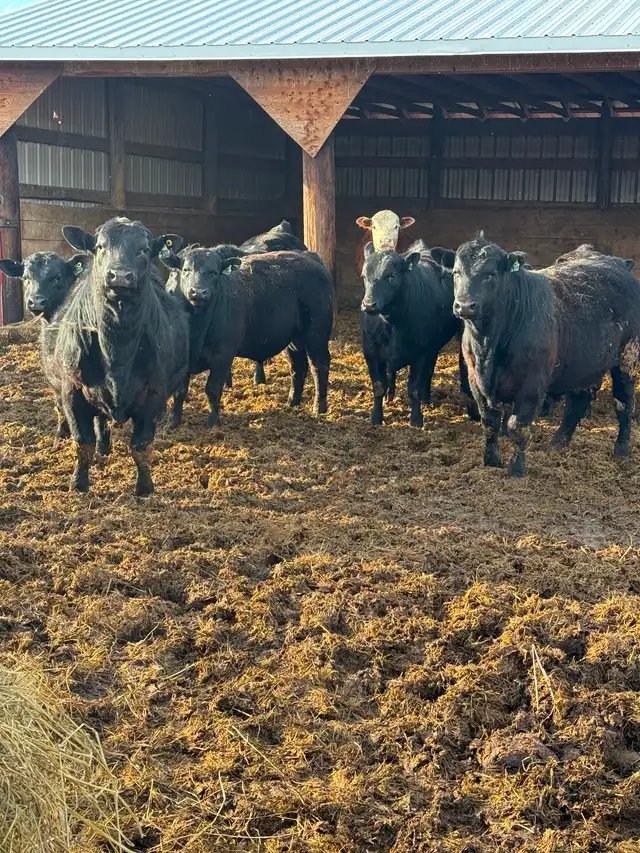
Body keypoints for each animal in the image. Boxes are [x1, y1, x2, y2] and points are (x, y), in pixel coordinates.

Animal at [44, 217, 189, 495]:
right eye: (101, 246)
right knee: (100, 422)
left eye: (144, 249)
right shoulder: (72, 391)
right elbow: (83, 442)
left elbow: (141, 446)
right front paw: (78, 484)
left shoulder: (154, 395)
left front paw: (144, 488)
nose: (120, 275)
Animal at [160, 247, 333, 429]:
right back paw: (292, 402)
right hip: (294, 341)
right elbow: (179, 392)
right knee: (298, 367)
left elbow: (213, 390)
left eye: (214, 272)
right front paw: (172, 422)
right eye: (186, 270)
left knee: (319, 366)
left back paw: (319, 408)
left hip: (316, 335)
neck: (196, 328)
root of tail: (309, 256)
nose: (199, 292)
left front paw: (213, 423)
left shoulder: (223, 356)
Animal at [360, 240, 475, 427]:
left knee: (428, 374)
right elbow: (378, 387)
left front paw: (416, 419)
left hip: (433, 348)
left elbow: (414, 388)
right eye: (364, 276)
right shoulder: (371, 352)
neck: (392, 323)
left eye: (391, 276)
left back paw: (425, 399)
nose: (369, 304)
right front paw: (376, 417)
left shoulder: (422, 354)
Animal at [453, 234, 640, 477]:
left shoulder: (531, 384)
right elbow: (490, 422)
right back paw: (557, 446)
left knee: (624, 403)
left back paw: (621, 450)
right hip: (583, 365)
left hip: (627, 358)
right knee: (576, 404)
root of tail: (618, 265)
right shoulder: (475, 379)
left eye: (490, 274)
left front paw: (516, 470)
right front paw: (491, 462)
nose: (464, 305)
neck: (488, 343)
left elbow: (518, 427)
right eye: (456, 273)